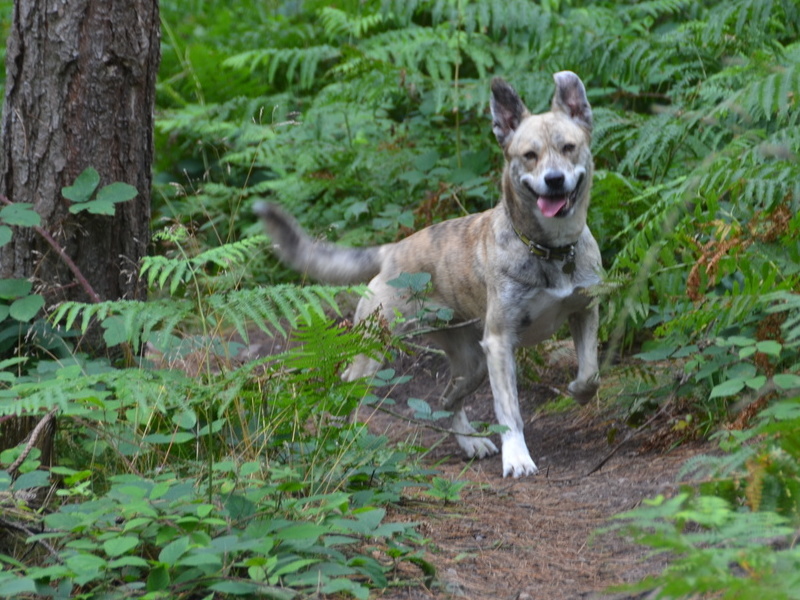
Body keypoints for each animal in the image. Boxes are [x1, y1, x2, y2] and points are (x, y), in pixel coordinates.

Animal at [256, 72, 600, 478]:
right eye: (528, 155)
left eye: (568, 147)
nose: (554, 180)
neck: (549, 249)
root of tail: (392, 249)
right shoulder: (500, 341)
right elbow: (509, 411)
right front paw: (517, 457)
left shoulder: (585, 310)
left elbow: (590, 372)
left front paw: (578, 391)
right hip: (377, 347)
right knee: (348, 389)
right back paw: (340, 444)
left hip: (472, 363)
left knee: (447, 398)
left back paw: (468, 441)